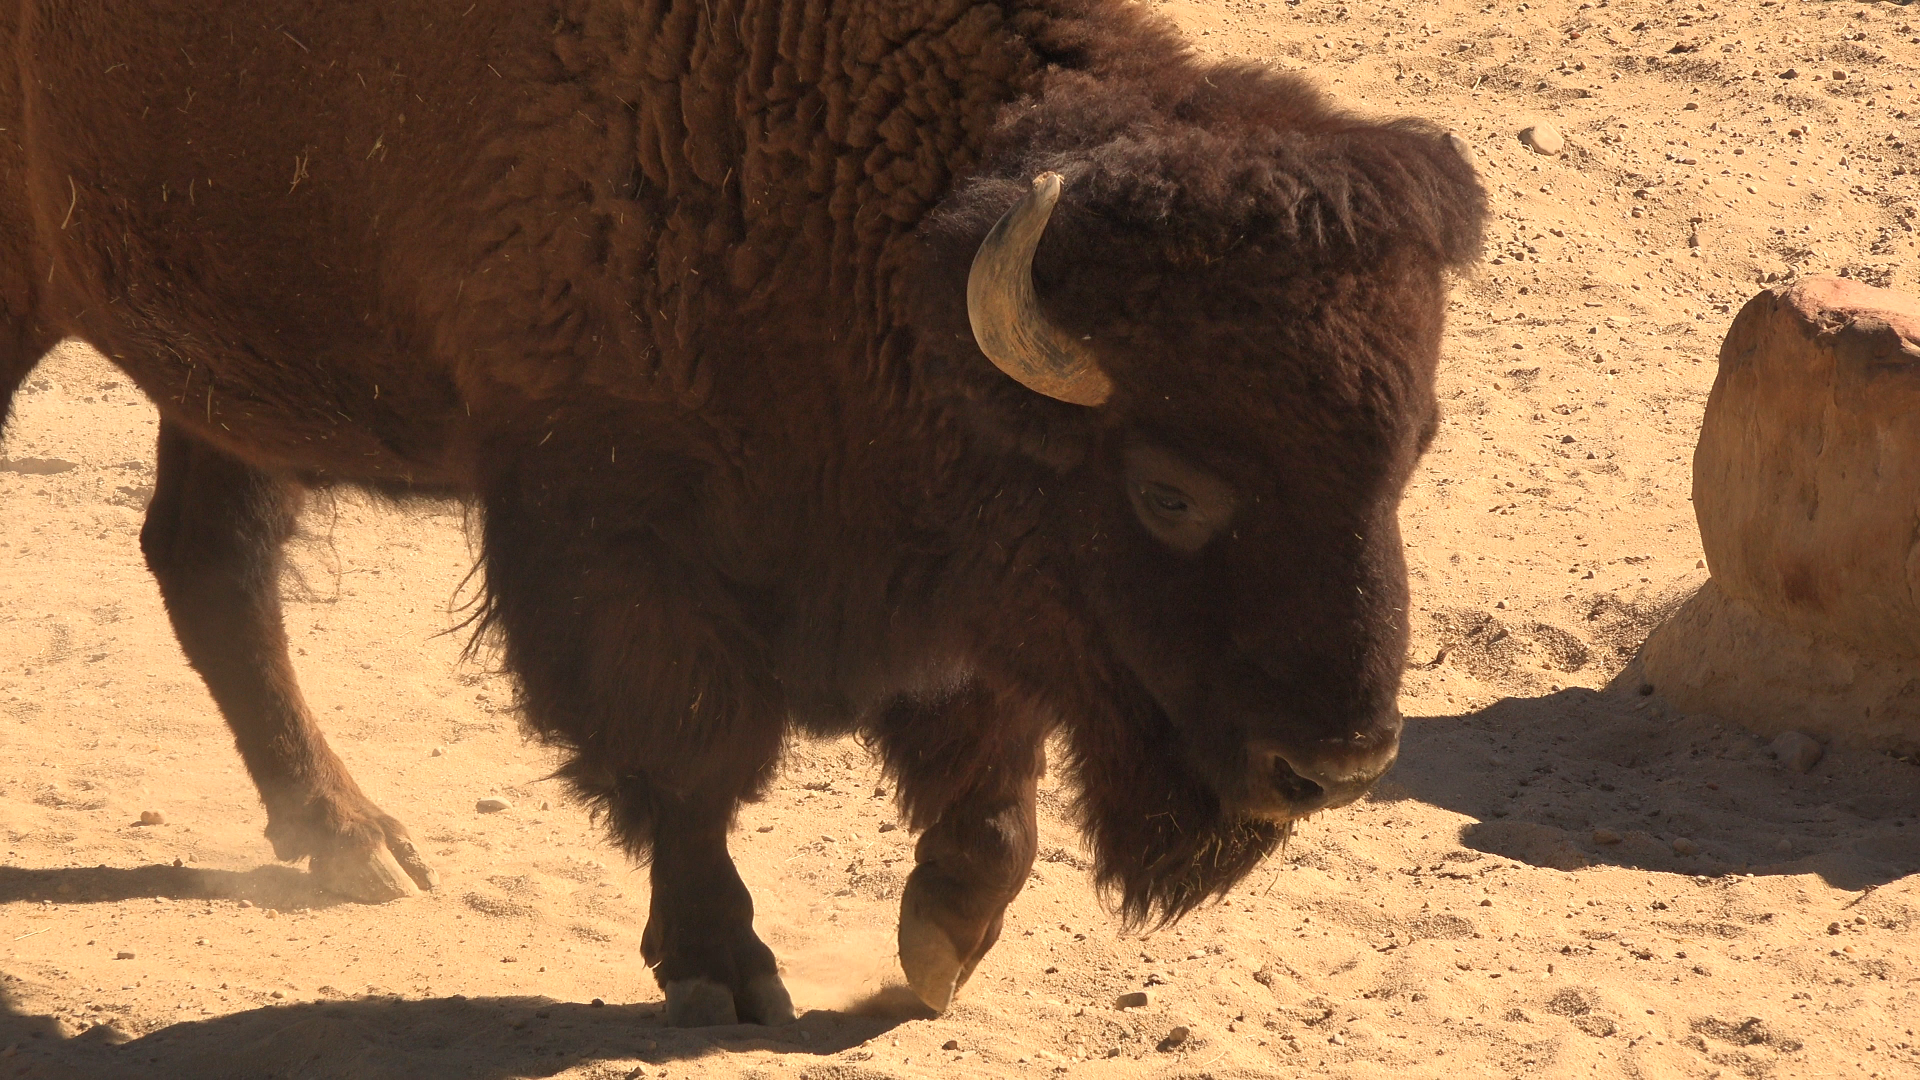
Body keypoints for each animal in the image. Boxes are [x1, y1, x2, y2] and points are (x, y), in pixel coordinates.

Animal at [0, 0, 1483, 1024]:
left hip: (217, 361)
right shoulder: (614, 537)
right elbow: (689, 754)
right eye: (1171, 487)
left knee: (212, 564)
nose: (1336, 763)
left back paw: (353, 842)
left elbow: (987, 778)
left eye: (1413, 453)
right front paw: (722, 971)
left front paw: (940, 945)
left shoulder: (949, 581)